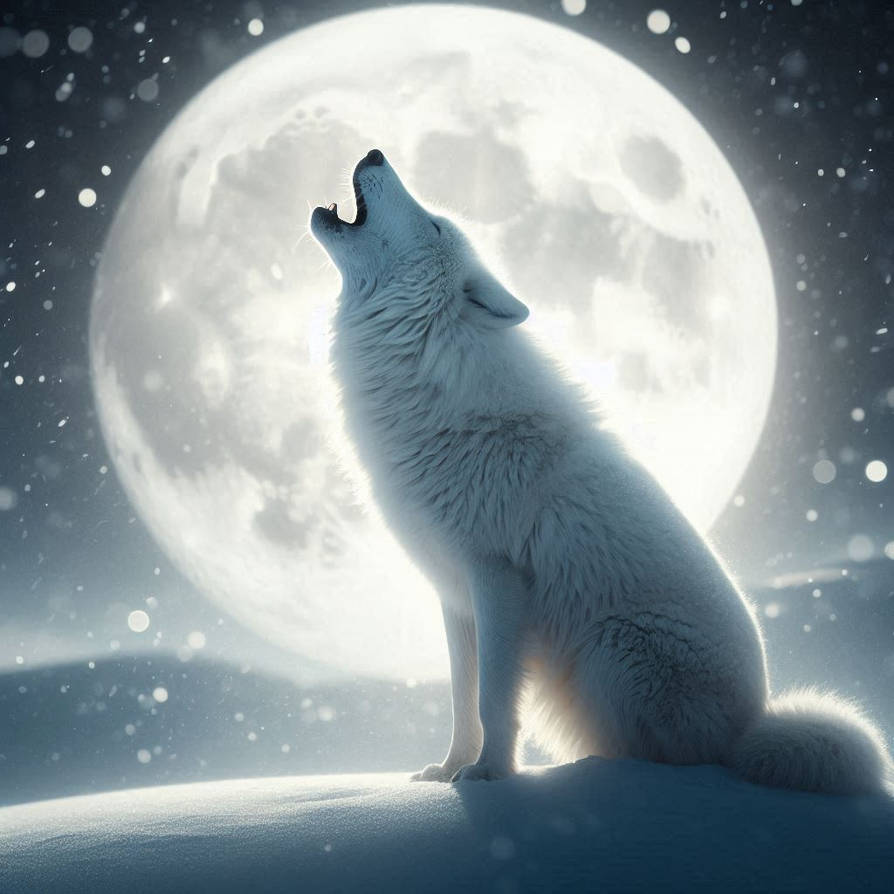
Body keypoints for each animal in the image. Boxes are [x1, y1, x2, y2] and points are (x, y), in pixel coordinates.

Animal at [310, 149, 892, 794]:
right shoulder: (456, 595)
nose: (374, 153)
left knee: (663, 761)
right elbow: (463, 704)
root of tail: (749, 728)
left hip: (612, 648)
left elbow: (493, 702)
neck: (429, 377)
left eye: (435, 226)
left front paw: (489, 776)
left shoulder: (496, 579)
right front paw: (448, 773)